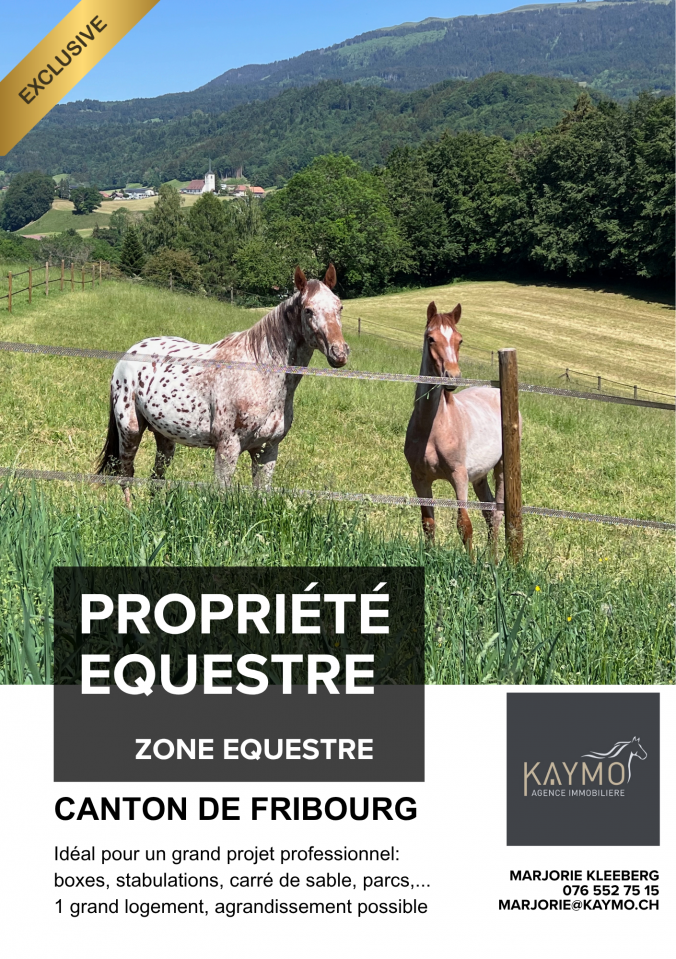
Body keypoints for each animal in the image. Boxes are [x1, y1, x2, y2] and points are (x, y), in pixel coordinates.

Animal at [96, 265, 349, 503]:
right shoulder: (227, 447)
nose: (339, 353)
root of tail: (128, 354)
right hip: (130, 430)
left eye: (339, 307)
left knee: (156, 478)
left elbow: (261, 495)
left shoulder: (267, 449)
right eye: (308, 310)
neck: (260, 372)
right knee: (126, 474)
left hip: (165, 437)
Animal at [404, 301, 521, 553]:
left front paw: (471, 561)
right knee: (488, 511)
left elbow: (464, 524)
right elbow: (428, 522)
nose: (452, 377)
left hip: (501, 469)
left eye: (460, 340)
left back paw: (493, 558)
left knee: (497, 514)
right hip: (479, 476)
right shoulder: (419, 478)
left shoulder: (459, 477)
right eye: (431, 338)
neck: (433, 430)